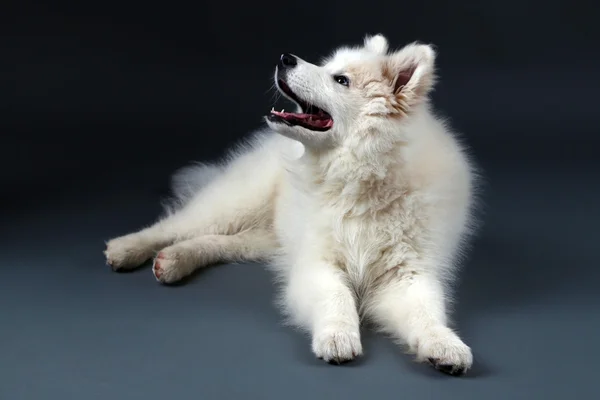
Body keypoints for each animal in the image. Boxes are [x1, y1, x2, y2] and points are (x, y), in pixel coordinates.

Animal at [103, 34, 478, 376]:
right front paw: (338, 336)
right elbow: (337, 296)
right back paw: (127, 248)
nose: (285, 57)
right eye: (328, 67)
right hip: (235, 204)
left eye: (340, 80)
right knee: (173, 226)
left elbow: (426, 312)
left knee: (220, 242)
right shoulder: (316, 261)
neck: (363, 177)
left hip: (267, 237)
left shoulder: (407, 272)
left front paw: (444, 344)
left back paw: (175, 260)